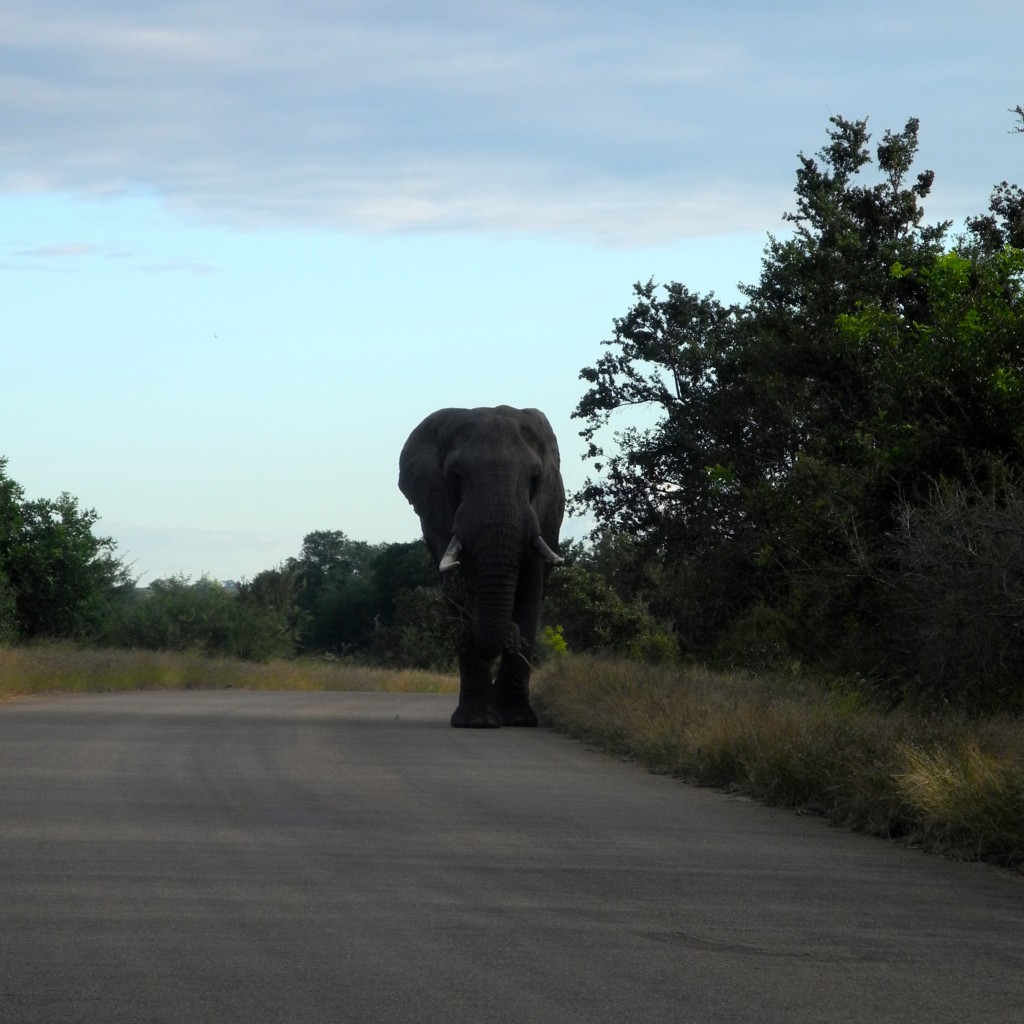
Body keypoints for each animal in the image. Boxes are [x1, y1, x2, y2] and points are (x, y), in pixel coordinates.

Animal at [395, 407, 565, 729]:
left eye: (535, 477)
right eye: (456, 476)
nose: (510, 634)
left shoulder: (541, 515)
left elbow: (530, 593)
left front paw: (517, 720)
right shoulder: (440, 514)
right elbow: (458, 592)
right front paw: (477, 722)